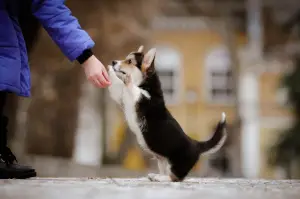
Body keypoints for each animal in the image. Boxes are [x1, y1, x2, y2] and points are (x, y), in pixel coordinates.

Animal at [106, 45, 226, 182]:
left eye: (129, 61)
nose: (113, 62)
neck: (146, 83)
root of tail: (196, 145)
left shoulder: (143, 98)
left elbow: (135, 89)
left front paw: (127, 79)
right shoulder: (121, 95)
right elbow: (118, 86)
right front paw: (110, 71)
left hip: (176, 164)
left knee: (174, 178)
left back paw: (160, 178)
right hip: (162, 160)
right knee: (167, 172)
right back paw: (155, 176)